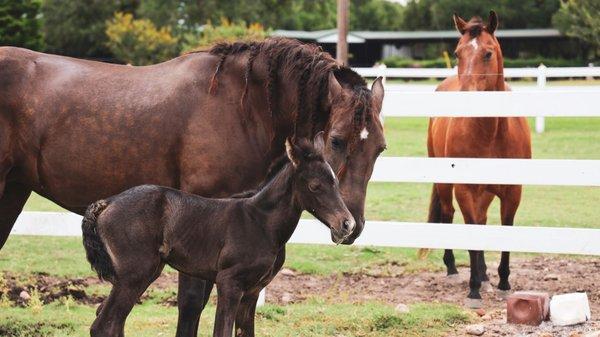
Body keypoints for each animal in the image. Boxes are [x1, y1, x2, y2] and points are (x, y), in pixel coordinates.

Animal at [79, 134, 352, 336]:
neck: (260, 223)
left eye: (336, 182)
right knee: (105, 326)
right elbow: (222, 331)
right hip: (135, 275)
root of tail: (107, 202)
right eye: (315, 186)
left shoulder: (252, 292)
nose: (346, 224)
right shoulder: (229, 283)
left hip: (139, 274)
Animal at [426, 11, 528, 308]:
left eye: (487, 53)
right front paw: (473, 291)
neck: (492, 132)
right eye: (457, 53)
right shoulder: (465, 189)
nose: (467, 97)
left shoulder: (512, 192)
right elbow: (470, 231)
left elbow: (505, 229)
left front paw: (503, 283)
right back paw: (454, 269)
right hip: (446, 183)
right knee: (448, 215)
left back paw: (483, 275)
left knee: (481, 220)